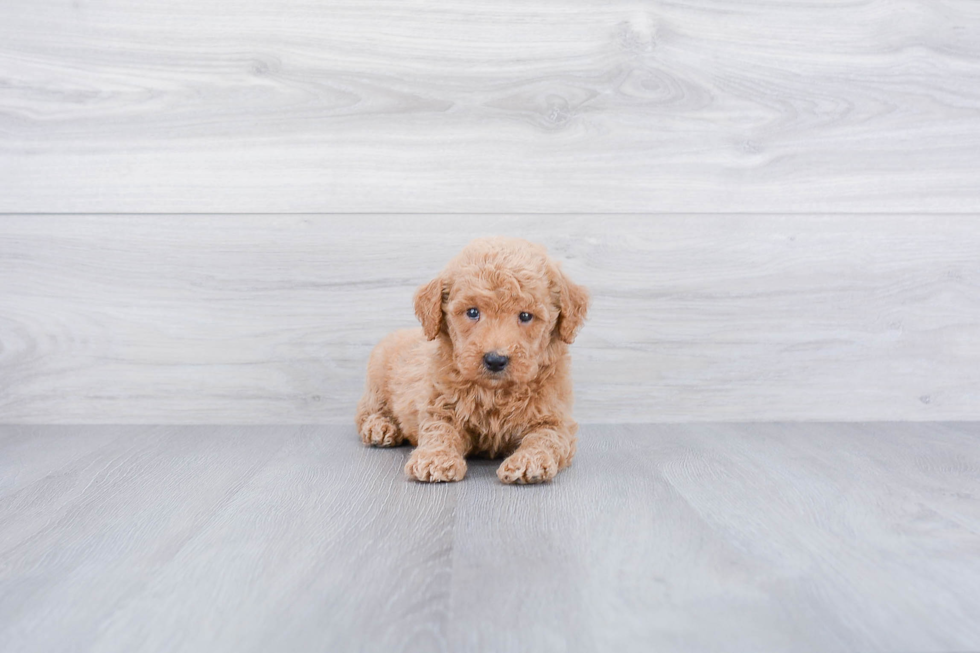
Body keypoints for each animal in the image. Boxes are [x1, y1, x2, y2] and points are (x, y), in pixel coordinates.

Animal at [356, 237, 584, 482]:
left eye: (525, 316)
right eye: (473, 312)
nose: (495, 360)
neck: (495, 393)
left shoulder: (555, 419)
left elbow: (545, 438)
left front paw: (528, 461)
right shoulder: (441, 406)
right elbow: (440, 431)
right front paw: (435, 459)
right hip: (377, 382)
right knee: (366, 412)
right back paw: (381, 427)